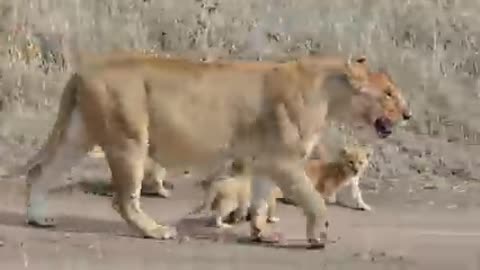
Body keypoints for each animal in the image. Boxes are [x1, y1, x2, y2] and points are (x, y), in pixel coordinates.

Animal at [17, 51, 408, 248]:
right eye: (388, 92)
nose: (408, 114)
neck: (329, 93)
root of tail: (83, 70)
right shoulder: (286, 161)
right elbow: (313, 199)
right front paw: (319, 235)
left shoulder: (266, 160)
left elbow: (261, 201)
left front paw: (261, 233)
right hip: (129, 139)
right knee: (124, 200)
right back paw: (156, 231)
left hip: (78, 136)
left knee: (40, 172)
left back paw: (38, 218)